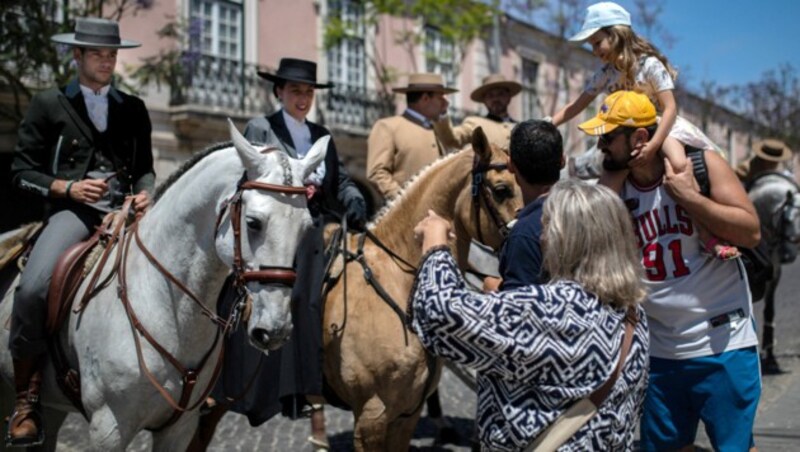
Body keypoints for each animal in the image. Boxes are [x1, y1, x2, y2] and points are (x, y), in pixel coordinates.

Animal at [0, 122, 326, 450]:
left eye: (306, 228)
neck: (167, 307)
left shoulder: (179, 428)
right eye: (253, 222)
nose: (275, 329)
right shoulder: (108, 427)